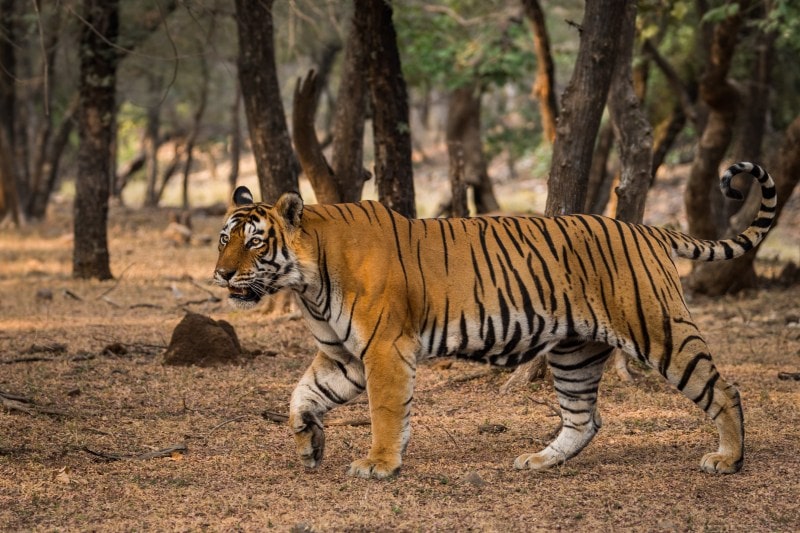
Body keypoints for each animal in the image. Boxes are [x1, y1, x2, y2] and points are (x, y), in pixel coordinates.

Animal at [212, 161, 776, 478]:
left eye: (255, 242)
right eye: (224, 239)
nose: (220, 274)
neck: (307, 282)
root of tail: (649, 229)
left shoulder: (383, 348)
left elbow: (386, 410)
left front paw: (379, 465)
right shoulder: (343, 356)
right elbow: (300, 397)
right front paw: (310, 446)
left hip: (658, 329)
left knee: (723, 388)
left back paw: (728, 460)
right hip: (575, 352)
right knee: (584, 419)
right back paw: (540, 462)